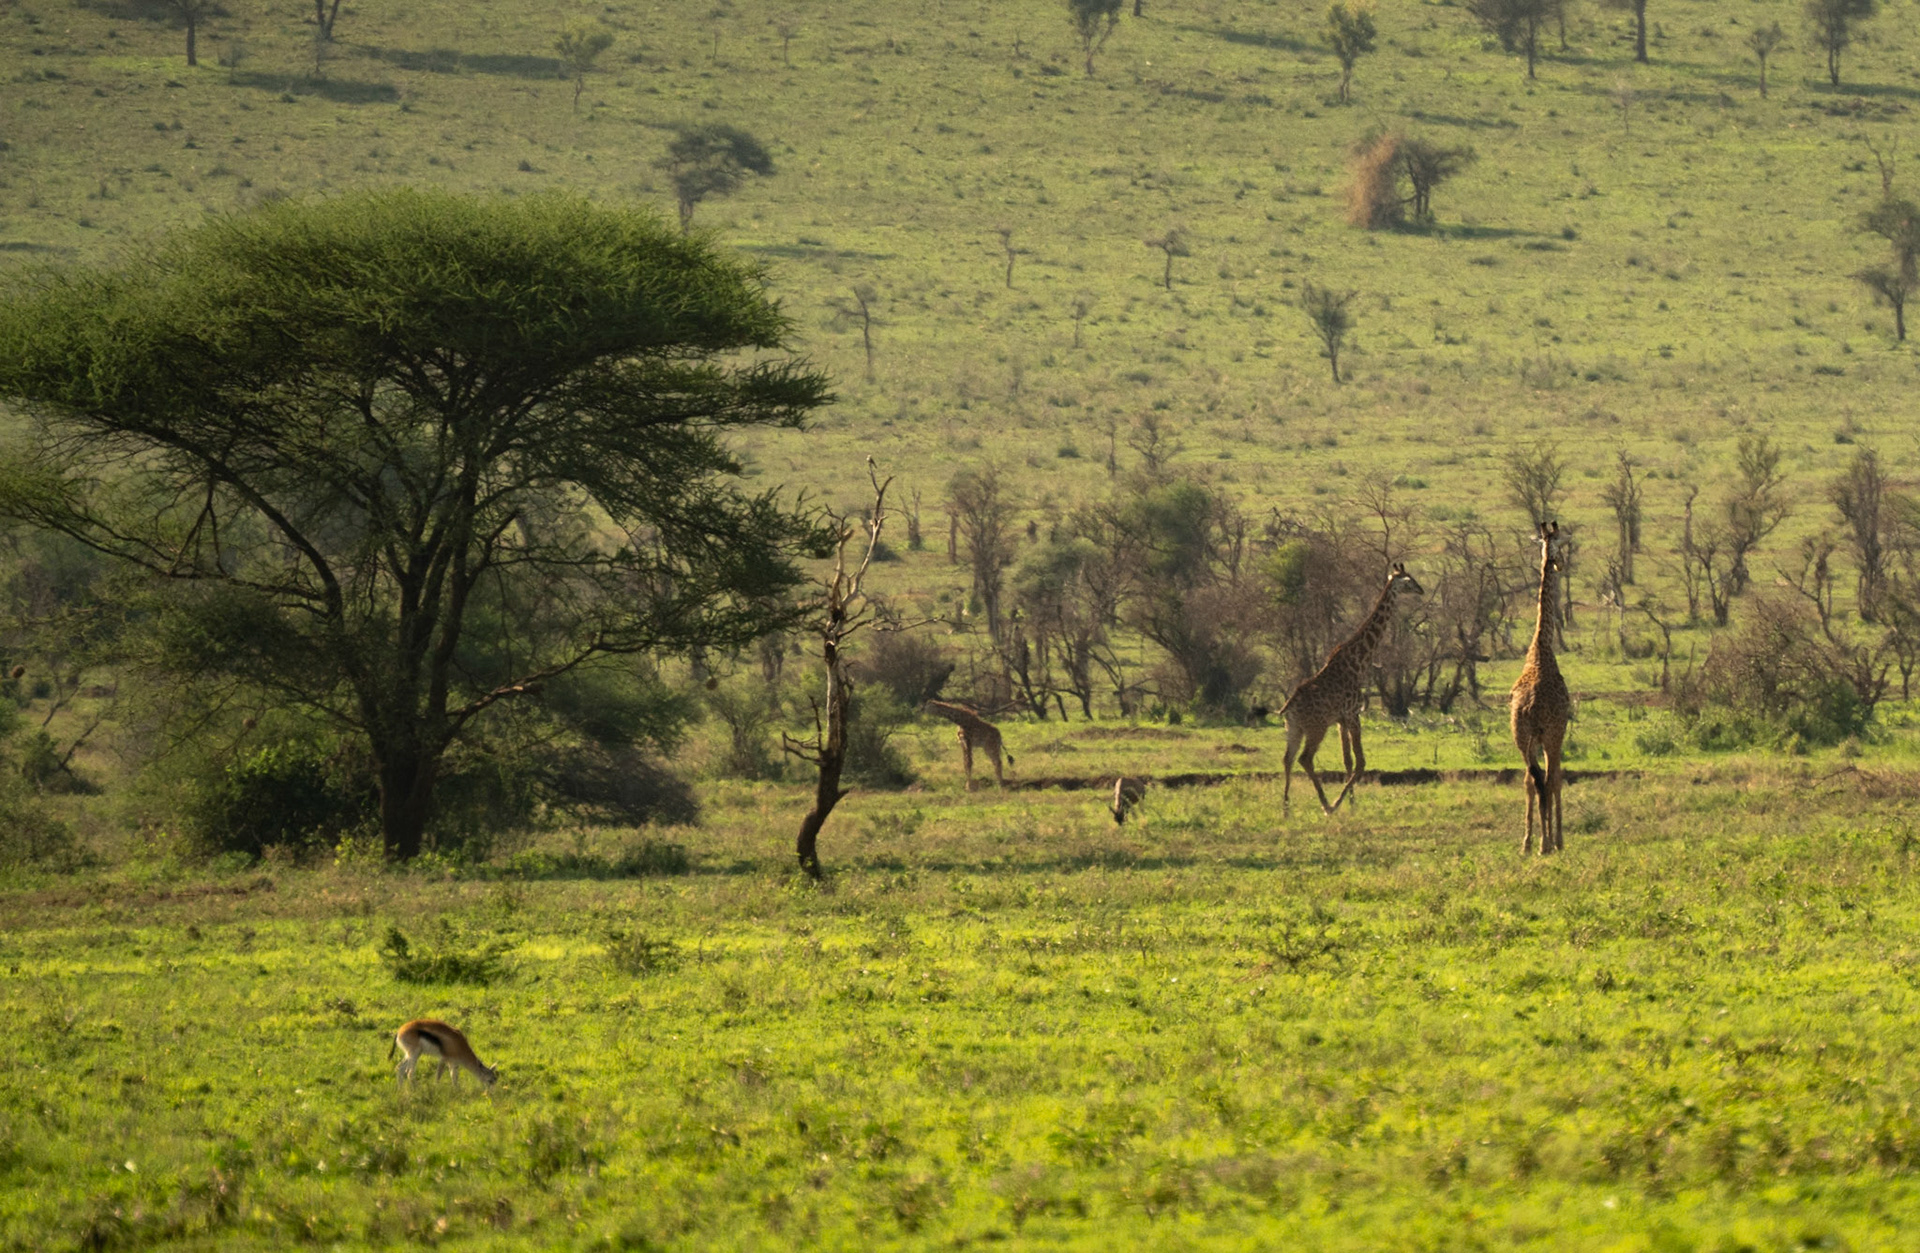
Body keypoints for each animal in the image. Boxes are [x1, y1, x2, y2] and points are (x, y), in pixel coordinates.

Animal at [1281, 563, 1425, 814]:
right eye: (1408, 580)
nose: (1421, 590)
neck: (1359, 661)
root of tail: (1289, 707)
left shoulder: (1341, 719)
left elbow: (1347, 760)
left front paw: (1352, 802)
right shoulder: (1353, 714)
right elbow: (1360, 762)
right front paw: (1341, 802)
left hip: (1295, 728)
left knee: (1287, 759)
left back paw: (1286, 808)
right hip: (1316, 727)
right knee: (1304, 759)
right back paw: (1326, 805)